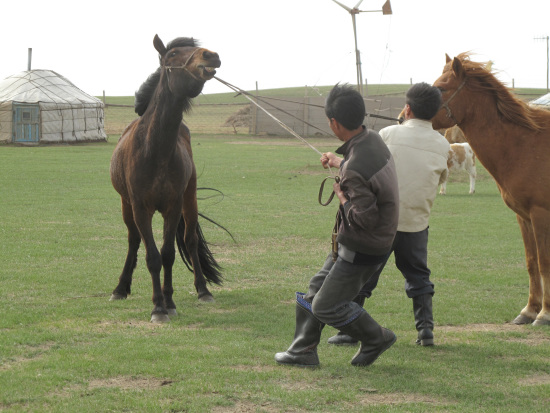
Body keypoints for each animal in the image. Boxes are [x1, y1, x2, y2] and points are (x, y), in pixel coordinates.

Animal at [111, 34, 223, 322]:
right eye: (172, 54)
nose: (211, 55)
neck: (156, 149)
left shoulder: (173, 207)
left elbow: (168, 254)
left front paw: (168, 303)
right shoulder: (141, 208)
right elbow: (152, 256)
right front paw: (158, 307)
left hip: (189, 199)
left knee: (191, 240)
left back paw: (203, 290)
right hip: (126, 206)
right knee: (133, 241)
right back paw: (120, 288)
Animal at [434, 52, 550, 326]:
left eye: (441, 88)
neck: (524, 143)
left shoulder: (541, 215)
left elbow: (544, 263)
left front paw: (544, 314)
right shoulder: (524, 217)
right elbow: (532, 262)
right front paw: (530, 310)